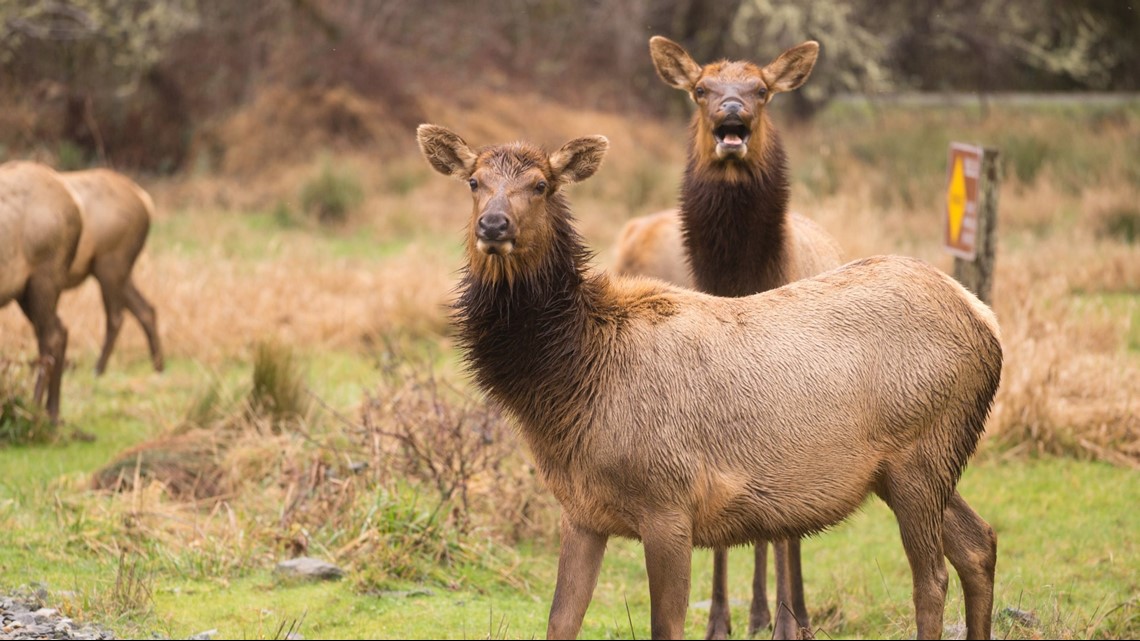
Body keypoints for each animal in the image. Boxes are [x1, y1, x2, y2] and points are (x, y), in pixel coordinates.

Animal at [0, 161, 84, 422]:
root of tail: (76, 208)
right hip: (24, 292)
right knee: (58, 331)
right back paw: (52, 412)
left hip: (44, 279)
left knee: (52, 336)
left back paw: (34, 411)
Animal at [60, 168, 163, 375]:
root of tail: (145, 200)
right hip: (119, 271)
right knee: (146, 309)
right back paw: (158, 367)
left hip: (109, 263)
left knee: (116, 317)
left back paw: (98, 369)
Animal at [417, 124, 1001, 641]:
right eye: (474, 181)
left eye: (541, 184)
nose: (493, 225)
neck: (575, 377)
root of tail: (987, 322)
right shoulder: (582, 511)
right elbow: (561, 621)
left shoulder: (669, 503)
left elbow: (666, 626)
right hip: (918, 465)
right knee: (979, 543)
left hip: (920, 453)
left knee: (932, 577)